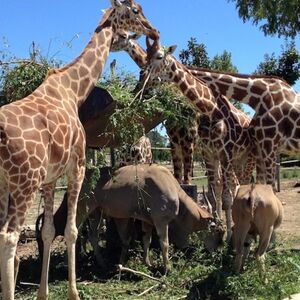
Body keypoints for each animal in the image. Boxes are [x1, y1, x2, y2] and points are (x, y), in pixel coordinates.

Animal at [0, 1, 157, 298]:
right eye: (134, 10)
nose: (153, 31)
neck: (73, 90)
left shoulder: (50, 180)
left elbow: (49, 230)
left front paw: (43, 293)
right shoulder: (77, 167)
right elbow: (72, 229)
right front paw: (74, 292)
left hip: (7, 186)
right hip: (24, 183)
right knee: (8, 237)